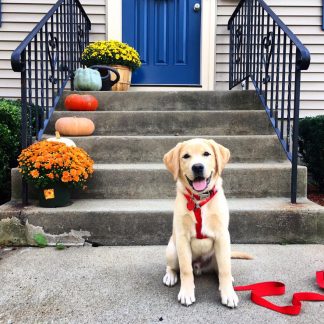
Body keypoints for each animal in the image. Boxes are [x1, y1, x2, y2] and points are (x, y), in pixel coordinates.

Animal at [162, 138, 251, 308]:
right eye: (186, 156)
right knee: (173, 266)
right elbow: (185, 270)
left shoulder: (222, 236)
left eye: (206, 154)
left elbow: (224, 270)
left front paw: (228, 294)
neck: (199, 200)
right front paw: (186, 293)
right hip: (172, 250)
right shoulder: (182, 238)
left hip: (221, 252)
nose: (197, 167)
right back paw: (170, 275)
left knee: (221, 269)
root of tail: (199, 265)